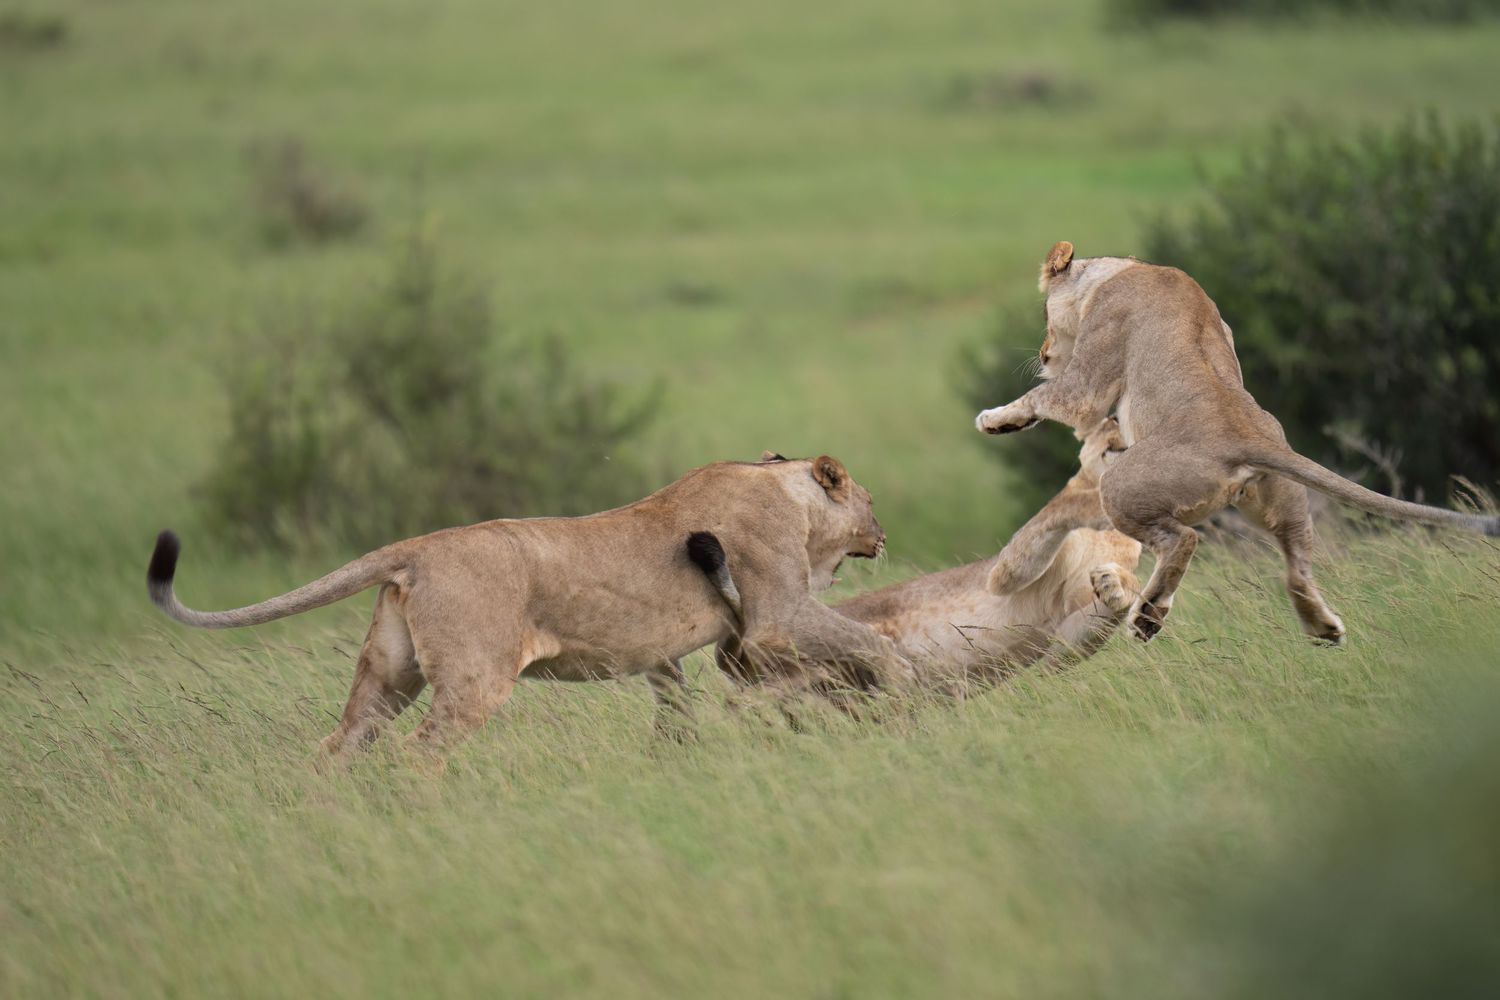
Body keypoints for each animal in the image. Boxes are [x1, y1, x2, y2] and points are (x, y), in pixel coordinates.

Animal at [146, 454, 913, 754]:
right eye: (872, 500)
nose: (884, 533)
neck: (782, 488)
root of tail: (415, 548)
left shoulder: (676, 652)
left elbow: (677, 705)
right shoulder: (779, 611)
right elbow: (867, 641)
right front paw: (899, 686)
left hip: (387, 676)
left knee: (339, 745)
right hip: (475, 681)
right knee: (415, 756)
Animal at [689, 420, 1142, 695]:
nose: (1113, 423)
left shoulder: (1068, 636)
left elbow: (1091, 625)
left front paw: (1117, 588)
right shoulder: (1004, 573)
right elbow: (1055, 512)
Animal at [975, 241, 1499, 642]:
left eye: (1045, 317)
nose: (1043, 352)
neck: (1122, 271)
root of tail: (1243, 434)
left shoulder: (1089, 378)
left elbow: (1048, 398)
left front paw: (996, 420)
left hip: (1122, 486)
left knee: (1183, 539)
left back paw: (1148, 617)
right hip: (1281, 502)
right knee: (1297, 564)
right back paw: (1322, 628)